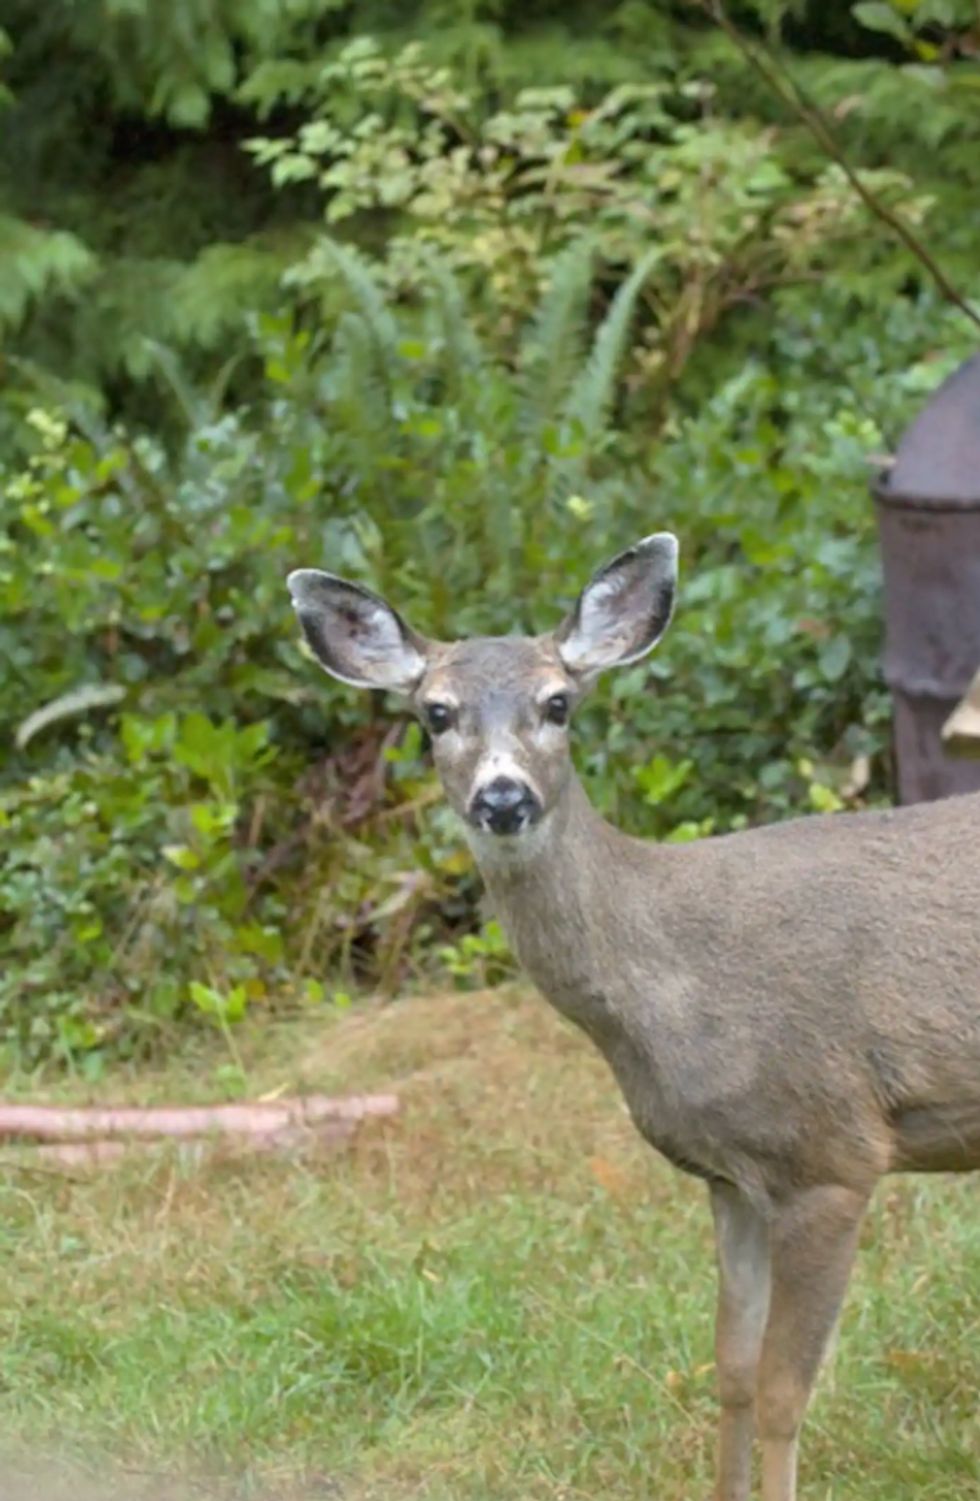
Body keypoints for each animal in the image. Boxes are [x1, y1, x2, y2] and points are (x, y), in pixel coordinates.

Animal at [286, 532, 980, 1501]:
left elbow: (782, 1392)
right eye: (434, 713)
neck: (670, 986)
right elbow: (730, 1370)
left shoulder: (831, 1151)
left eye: (558, 702)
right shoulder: (730, 1176)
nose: (504, 798)